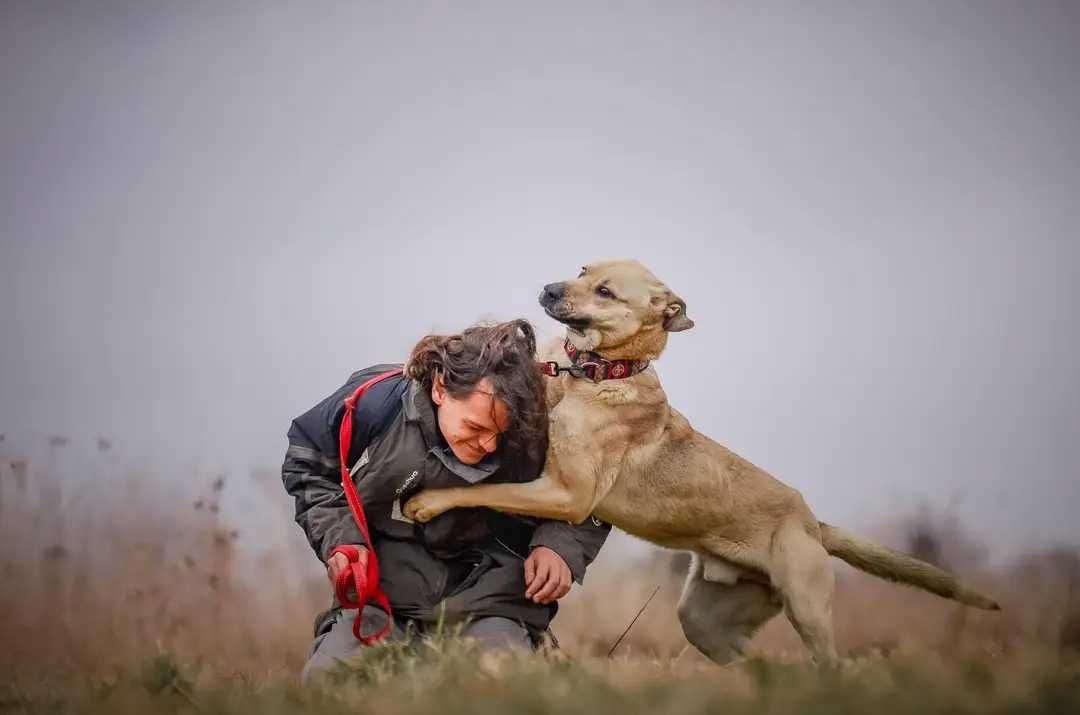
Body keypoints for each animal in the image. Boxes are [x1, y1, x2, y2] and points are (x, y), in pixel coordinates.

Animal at [406, 259, 1002, 665]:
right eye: (582, 270)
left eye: (604, 291)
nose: (549, 289)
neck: (593, 372)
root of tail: (812, 522)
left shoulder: (567, 493)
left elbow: (482, 488)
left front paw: (427, 502)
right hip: (705, 621)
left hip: (807, 609)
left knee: (828, 663)